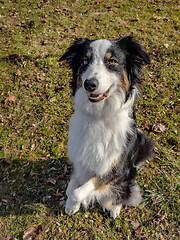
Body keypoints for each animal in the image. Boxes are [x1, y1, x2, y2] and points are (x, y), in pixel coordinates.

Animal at [59, 36, 155, 218]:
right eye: (84, 61)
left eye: (112, 61)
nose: (89, 84)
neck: (98, 116)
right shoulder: (79, 159)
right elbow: (71, 187)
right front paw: (70, 205)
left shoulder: (114, 169)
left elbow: (79, 191)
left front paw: (74, 203)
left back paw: (114, 207)